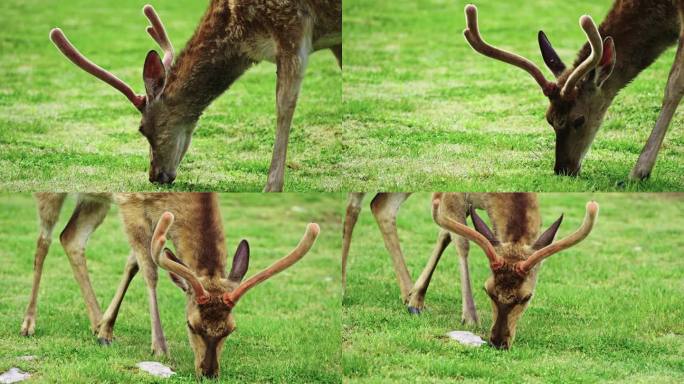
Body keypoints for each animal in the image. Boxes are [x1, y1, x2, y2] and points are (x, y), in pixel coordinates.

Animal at [20, 191, 320, 376]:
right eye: (191, 325)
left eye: (230, 329)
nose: (209, 373)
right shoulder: (130, 205)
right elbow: (150, 271)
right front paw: (160, 347)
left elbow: (133, 263)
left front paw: (105, 328)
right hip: (52, 195)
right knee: (44, 241)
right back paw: (28, 323)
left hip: (94, 198)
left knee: (70, 237)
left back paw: (95, 320)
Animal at [342, 194, 600, 350]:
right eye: (487, 290)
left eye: (527, 297)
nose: (498, 342)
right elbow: (461, 242)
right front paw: (470, 316)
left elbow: (446, 234)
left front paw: (416, 296)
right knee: (356, 204)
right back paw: (343, 286)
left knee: (381, 206)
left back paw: (407, 291)